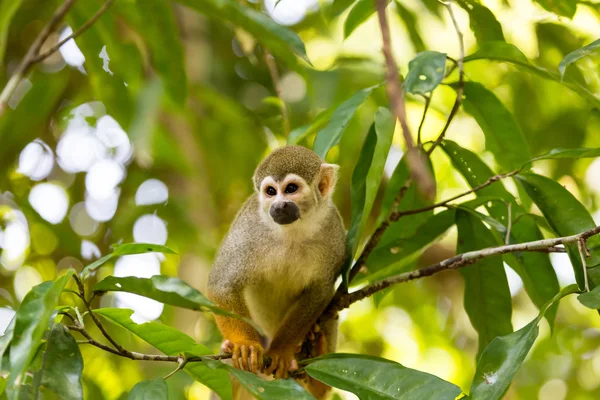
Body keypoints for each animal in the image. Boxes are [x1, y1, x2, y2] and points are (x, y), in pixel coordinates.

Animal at [207, 145, 344, 396]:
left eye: (291, 189)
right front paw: (245, 345)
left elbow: (320, 291)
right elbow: (221, 286)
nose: (278, 206)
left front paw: (281, 351)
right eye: (271, 192)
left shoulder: (334, 232)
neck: (293, 231)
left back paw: (316, 368)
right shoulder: (248, 230)